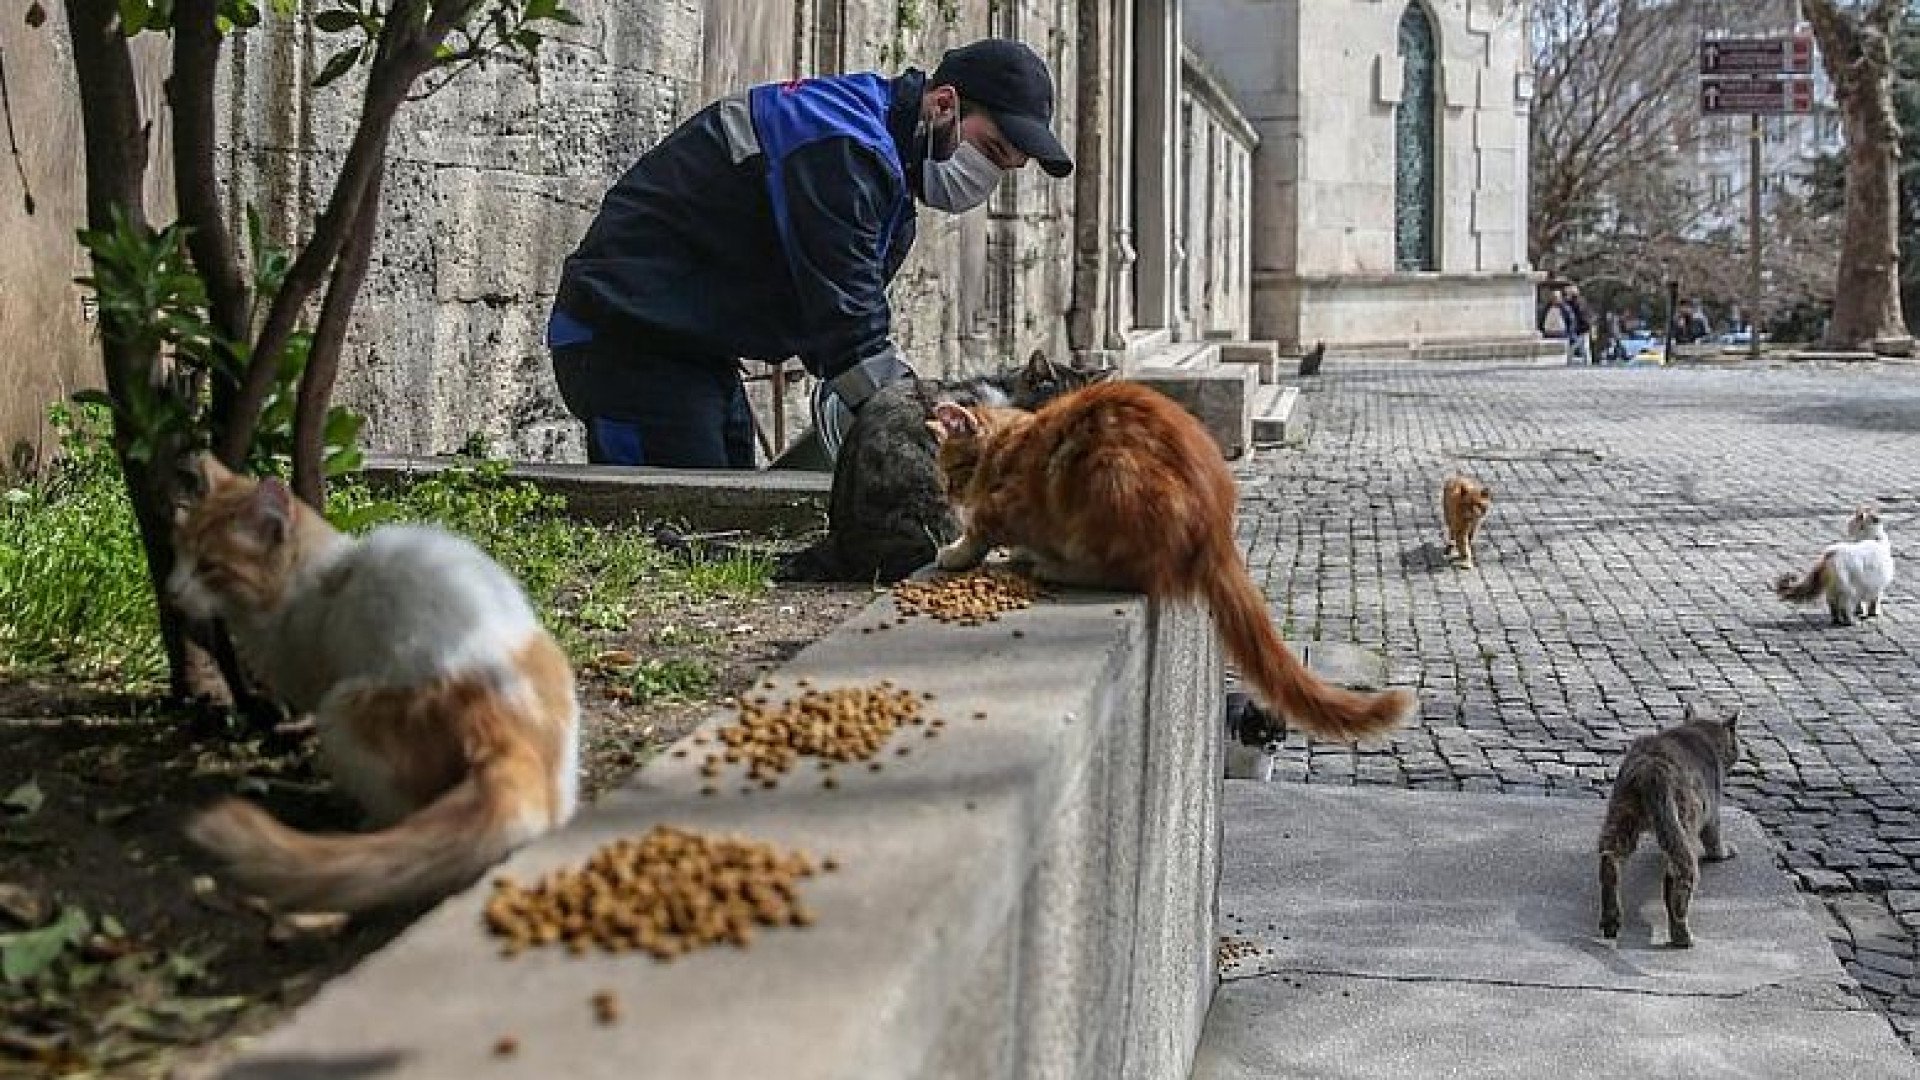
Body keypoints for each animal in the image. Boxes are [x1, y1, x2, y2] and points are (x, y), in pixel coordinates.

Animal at [169, 453, 576, 907]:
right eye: (177, 551)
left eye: (210, 567)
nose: (170, 592)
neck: (303, 584)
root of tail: (503, 723)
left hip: (342, 709)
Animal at [921, 378, 1420, 737]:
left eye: (952, 471)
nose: (947, 496)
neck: (1010, 444)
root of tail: (1216, 528)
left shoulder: (1007, 504)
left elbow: (982, 530)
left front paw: (958, 551)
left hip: (1108, 473)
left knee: (1129, 574)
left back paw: (1057, 565)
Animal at [1597, 703, 1751, 945]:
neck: (1699, 733)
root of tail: (1652, 768)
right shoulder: (1712, 809)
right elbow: (1714, 840)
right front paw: (1725, 851)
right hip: (1684, 819)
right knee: (1679, 876)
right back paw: (1681, 935)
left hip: (1622, 812)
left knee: (1610, 857)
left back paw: (1611, 918)